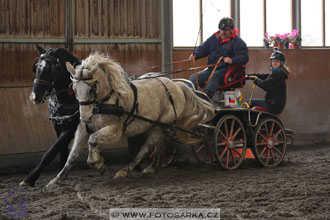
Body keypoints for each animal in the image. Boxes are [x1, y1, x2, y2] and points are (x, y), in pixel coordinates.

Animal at [20, 45, 81, 186]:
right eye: (36, 67)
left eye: (50, 69)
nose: (34, 96)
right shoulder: (58, 126)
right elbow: (61, 150)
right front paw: (61, 173)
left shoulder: (71, 128)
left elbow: (51, 152)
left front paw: (30, 178)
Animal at [47, 52, 215, 186]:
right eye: (74, 88)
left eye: (91, 89)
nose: (85, 117)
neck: (105, 101)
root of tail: (176, 85)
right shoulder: (83, 128)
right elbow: (73, 153)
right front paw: (57, 179)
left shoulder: (115, 130)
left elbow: (93, 139)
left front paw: (98, 164)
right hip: (157, 124)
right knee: (158, 144)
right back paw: (152, 167)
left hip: (160, 124)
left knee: (145, 148)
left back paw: (125, 171)